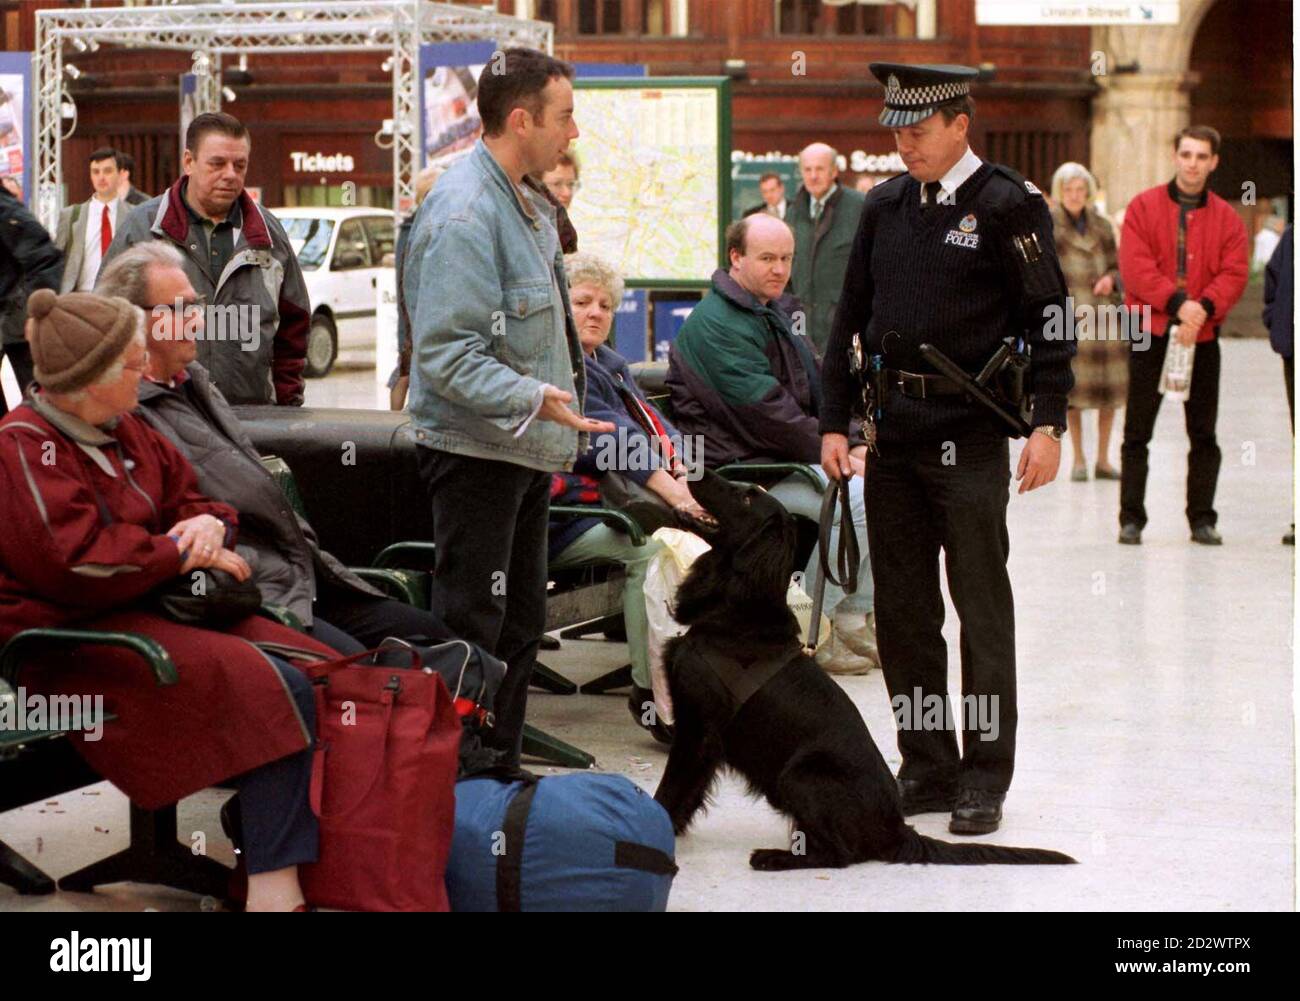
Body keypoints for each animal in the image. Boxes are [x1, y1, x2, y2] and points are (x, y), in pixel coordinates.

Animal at [655, 470, 1071, 863]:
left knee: (839, 855)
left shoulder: (697, 727)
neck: (736, 611)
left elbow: (670, 789)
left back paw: (773, 858)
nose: (692, 467)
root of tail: (897, 830)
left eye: (745, 497)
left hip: (801, 774)